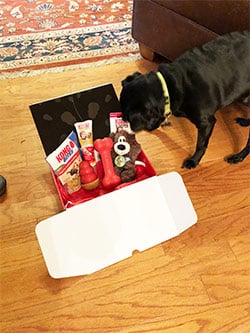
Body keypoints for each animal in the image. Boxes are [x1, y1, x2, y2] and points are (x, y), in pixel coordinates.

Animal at [120, 30, 249, 169]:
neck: (170, 84)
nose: (121, 119)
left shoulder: (206, 123)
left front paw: (194, 161)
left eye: (126, 118)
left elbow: (201, 145)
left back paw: (238, 157)